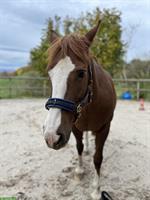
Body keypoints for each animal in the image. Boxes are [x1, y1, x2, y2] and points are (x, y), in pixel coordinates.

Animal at [43, 21, 116, 199]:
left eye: (81, 73)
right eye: (50, 73)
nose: (51, 136)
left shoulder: (104, 128)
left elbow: (98, 158)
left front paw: (96, 189)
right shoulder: (74, 127)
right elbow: (79, 147)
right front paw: (79, 171)